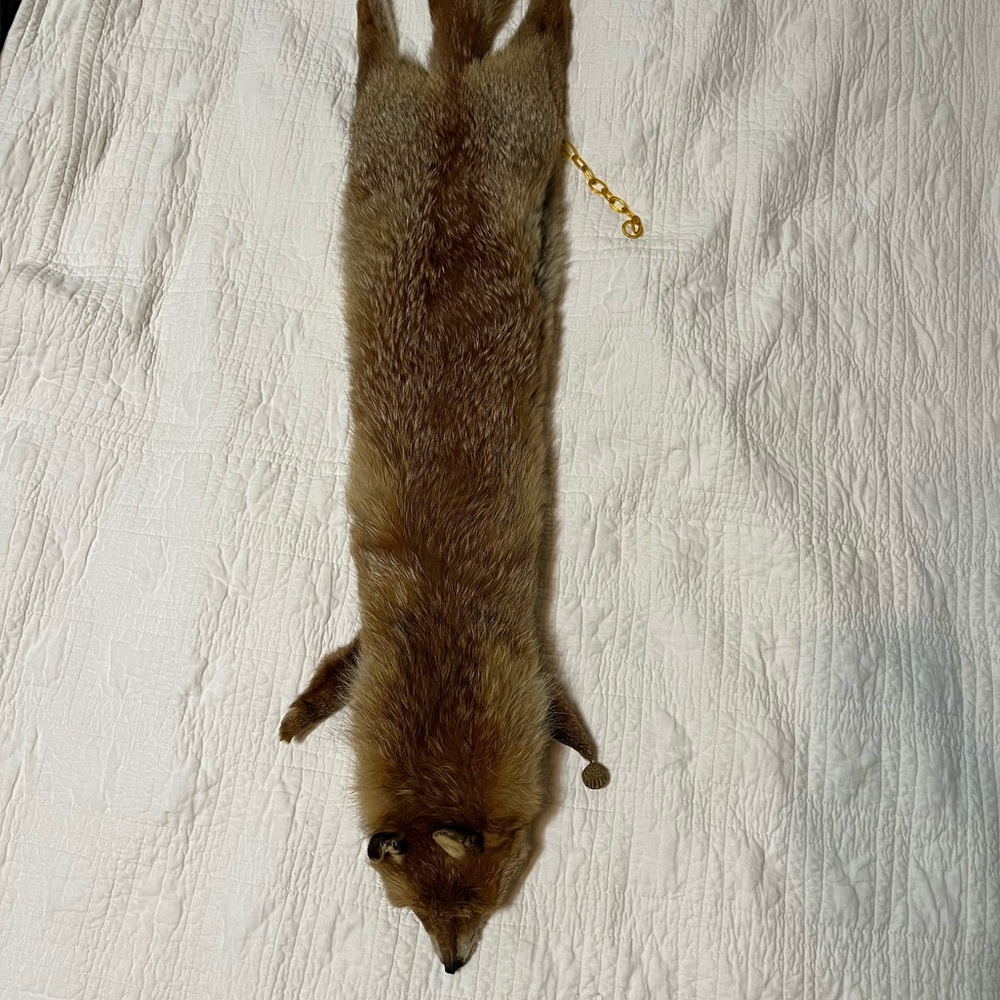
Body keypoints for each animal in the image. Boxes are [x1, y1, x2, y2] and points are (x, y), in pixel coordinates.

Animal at [279, 0, 609, 975]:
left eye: (482, 902)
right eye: (416, 912)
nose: (454, 967)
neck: (441, 657)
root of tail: (456, 94)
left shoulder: (530, 674)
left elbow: (571, 724)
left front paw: (591, 759)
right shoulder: (373, 653)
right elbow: (331, 678)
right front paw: (298, 718)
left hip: (525, 116)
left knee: (530, 30)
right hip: (387, 121)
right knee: (393, 41)